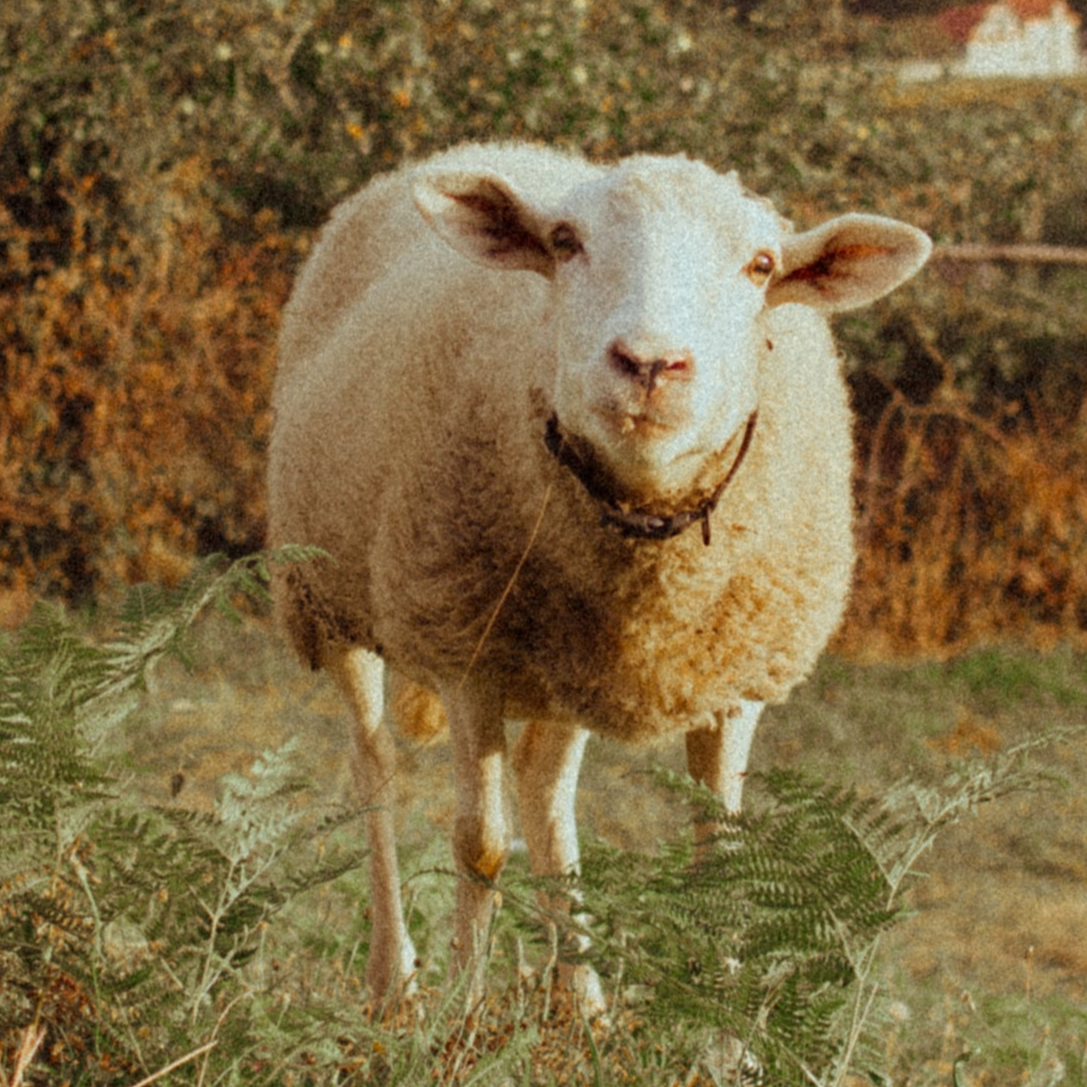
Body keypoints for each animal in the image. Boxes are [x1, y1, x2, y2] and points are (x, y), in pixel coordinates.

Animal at [267, 140, 930, 1004]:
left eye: (760, 265)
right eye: (563, 242)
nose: (649, 363)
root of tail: (481, 148)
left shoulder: (735, 677)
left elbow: (722, 860)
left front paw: (718, 1031)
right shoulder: (466, 648)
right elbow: (479, 845)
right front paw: (463, 1015)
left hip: (566, 663)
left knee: (544, 788)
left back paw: (580, 1007)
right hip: (330, 595)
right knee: (374, 768)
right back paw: (396, 984)